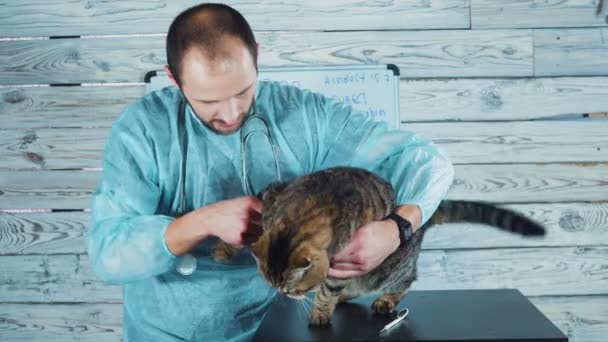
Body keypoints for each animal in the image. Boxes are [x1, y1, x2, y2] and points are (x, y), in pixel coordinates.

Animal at [214, 166, 548, 326]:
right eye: (272, 285)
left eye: (292, 288)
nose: (283, 295)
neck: (301, 213)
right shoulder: (269, 197)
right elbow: (249, 222)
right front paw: (223, 247)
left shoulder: (340, 261)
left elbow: (326, 290)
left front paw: (320, 311)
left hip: (386, 270)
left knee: (407, 279)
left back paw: (385, 300)